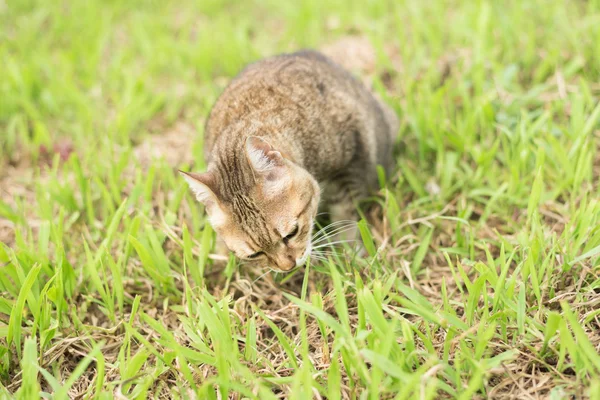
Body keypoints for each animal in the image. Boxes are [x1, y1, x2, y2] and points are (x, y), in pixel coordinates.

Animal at [183, 48, 398, 270]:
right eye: (254, 254)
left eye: (292, 233)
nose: (288, 267)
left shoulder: (351, 161)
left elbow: (345, 211)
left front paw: (348, 248)